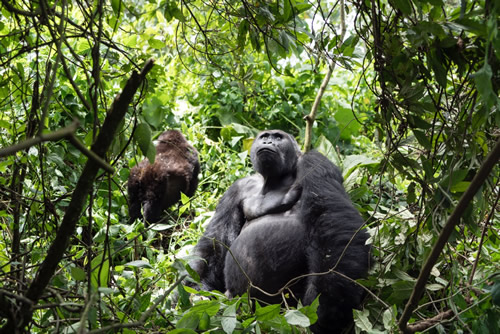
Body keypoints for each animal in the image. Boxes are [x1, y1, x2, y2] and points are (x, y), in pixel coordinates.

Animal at [191, 130, 372, 334]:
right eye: (265, 136)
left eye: (278, 137)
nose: (269, 142)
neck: (272, 181)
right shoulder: (237, 188)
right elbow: (216, 241)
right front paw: (195, 292)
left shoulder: (314, 160)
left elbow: (330, 216)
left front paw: (328, 311)